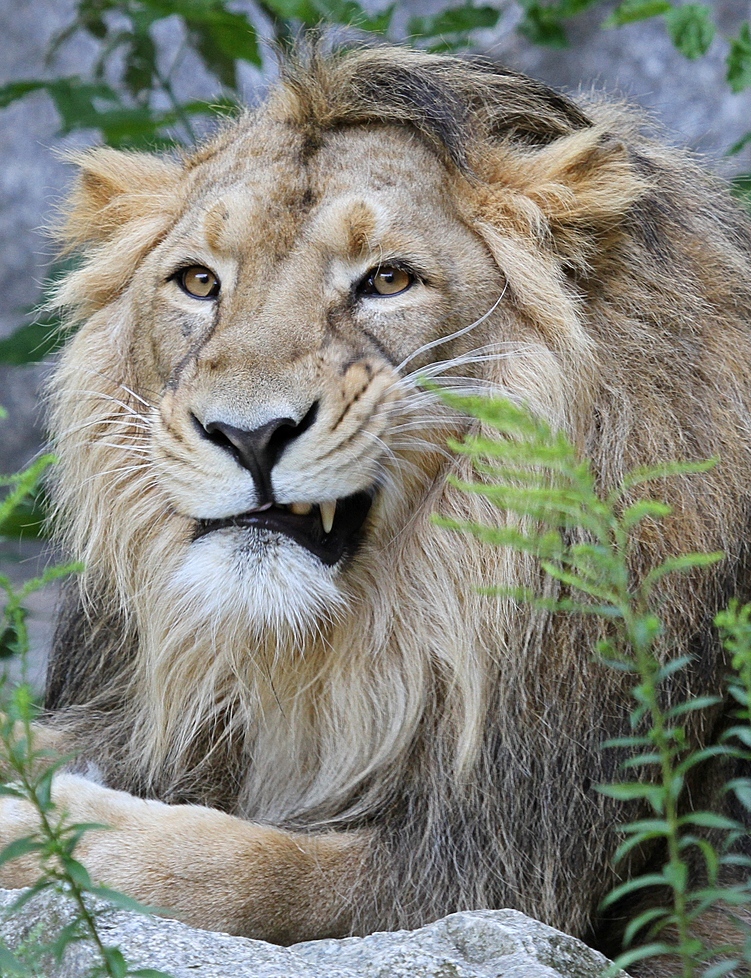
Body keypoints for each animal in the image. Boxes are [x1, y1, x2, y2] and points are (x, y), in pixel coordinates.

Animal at [1, 40, 751, 968]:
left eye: (388, 279)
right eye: (199, 282)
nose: (249, 435)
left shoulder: (497, 868)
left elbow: (246, 870)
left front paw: (46, 825)